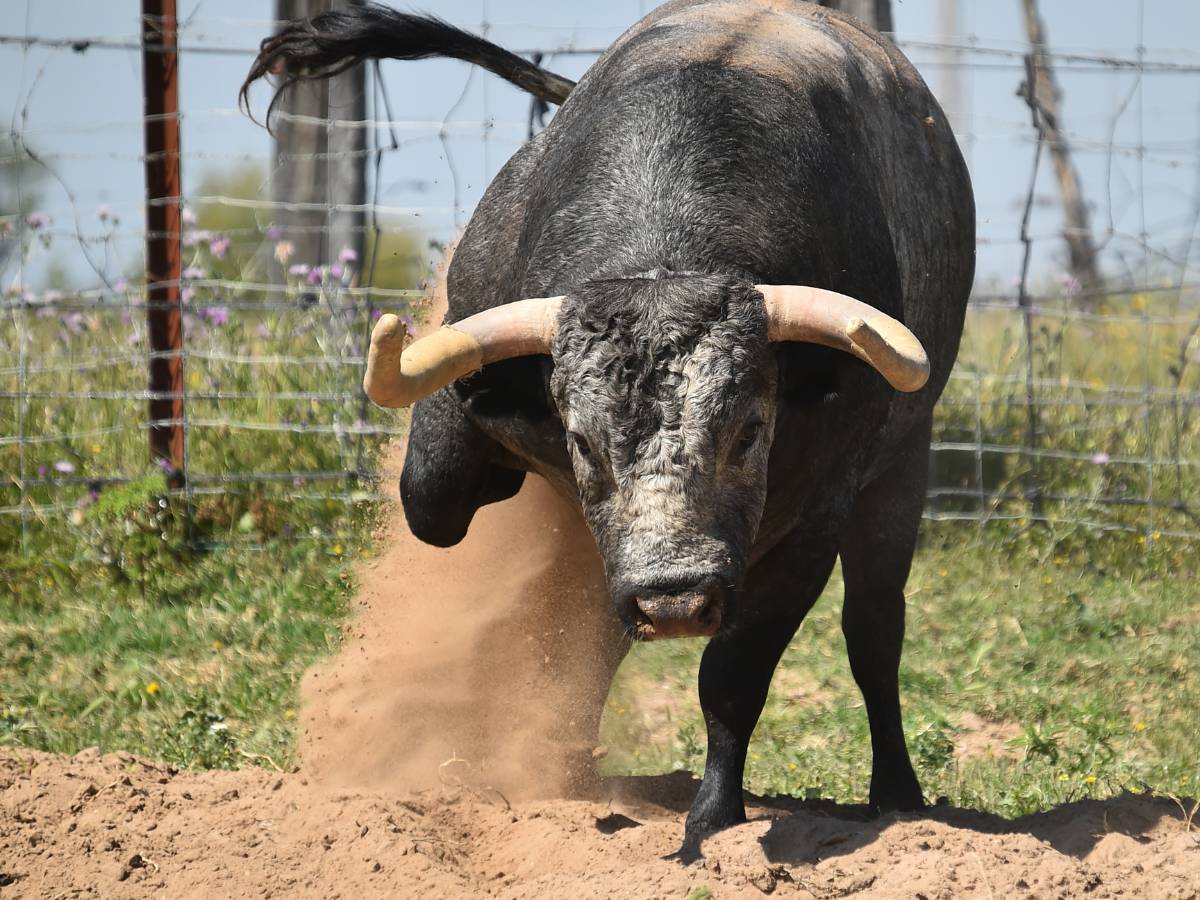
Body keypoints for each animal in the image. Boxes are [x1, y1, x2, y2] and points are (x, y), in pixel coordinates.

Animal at [243, 0, 974, 854]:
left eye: (749, 432)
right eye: (584, 443)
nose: (675, 600)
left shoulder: (810, 531)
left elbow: (733, 676)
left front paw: (713, 819)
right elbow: (436, 500)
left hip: (900, 475)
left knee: (874, 631)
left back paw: (896, 794)